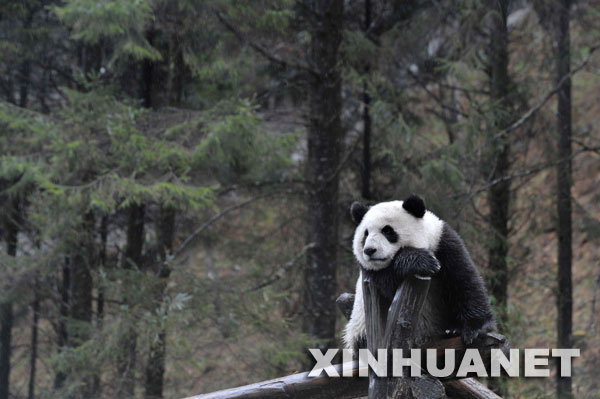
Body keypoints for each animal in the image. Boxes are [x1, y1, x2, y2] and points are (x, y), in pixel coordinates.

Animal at [344, 196, 494, 350]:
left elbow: (463, 280)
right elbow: (388, 286)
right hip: (360, 329)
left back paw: (451, 330)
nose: (369, 250)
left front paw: (474, 329)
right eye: (365, 234)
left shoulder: (443, 243)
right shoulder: (371, 272)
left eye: (388, 231)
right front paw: (422, 261)